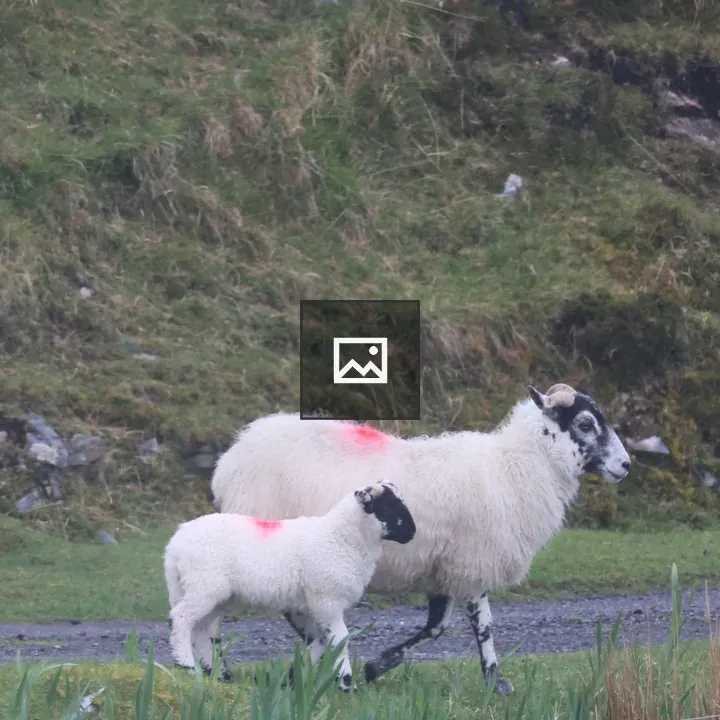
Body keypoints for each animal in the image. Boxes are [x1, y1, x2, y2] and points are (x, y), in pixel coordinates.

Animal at [164, 480, 416, 691]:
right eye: (388, 507)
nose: (412, 533)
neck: (342, 538)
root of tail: (175, 543)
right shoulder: (327, 599)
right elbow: (341, 639)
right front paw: (346, 683)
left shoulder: (315, 606)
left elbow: (322, 640)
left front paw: (297, 673)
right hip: (204, 586)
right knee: (182, 618)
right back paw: (186, 664)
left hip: (208, 593)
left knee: (202, 629)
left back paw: (212, 673)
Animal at [209, 383, 631, 695]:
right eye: (585, 424)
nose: (626, 465)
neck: (517, 464)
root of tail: (231, 458)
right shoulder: (472, 560)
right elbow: (483, 626)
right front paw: (496, 682)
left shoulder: (445, 566)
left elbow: (436, 627)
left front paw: (377, 666)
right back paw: (227, 672)